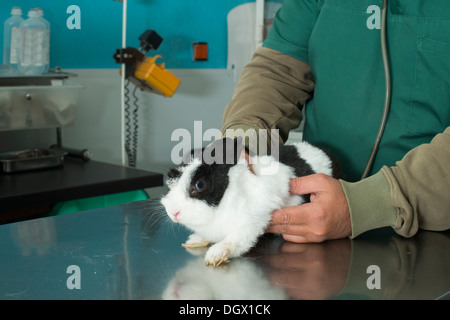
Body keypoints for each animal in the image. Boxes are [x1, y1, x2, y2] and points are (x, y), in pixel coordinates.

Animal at [160, 137, 340, 264]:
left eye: (200, 184)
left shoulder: (253, 222)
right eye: (171, 176)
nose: (173, 212)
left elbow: (236, 240)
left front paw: (216, 255)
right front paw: (195, 240)